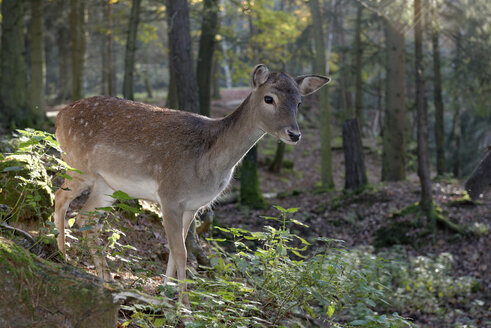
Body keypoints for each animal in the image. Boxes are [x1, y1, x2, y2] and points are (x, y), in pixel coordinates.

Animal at [54, 63, 330, 302]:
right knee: (61, 197)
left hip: (108, 185)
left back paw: (105, 277)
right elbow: (181, 252)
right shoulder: (169, 196)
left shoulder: (192, 206)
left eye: (299, 102)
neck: (207, 163)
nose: (294, 134)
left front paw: (167, 294)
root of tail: (59, 116)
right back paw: (63, 257)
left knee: (85, 217)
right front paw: (184, 308)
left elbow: (175, 251)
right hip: (78, 164)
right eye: (269, 98)